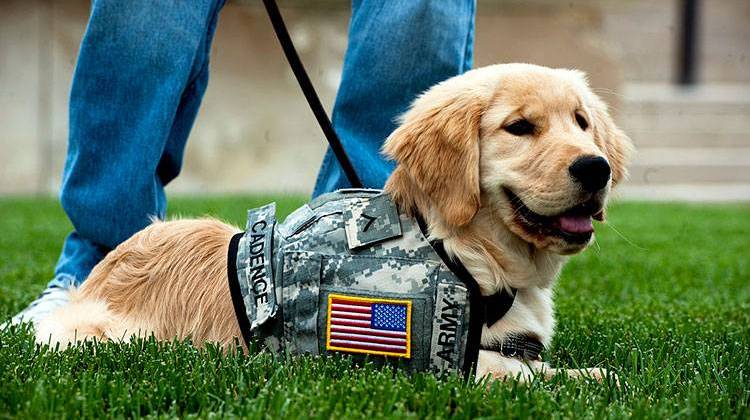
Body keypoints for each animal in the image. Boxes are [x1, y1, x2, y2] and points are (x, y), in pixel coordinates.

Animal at [38, 64, 632, 382]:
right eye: (520, 127)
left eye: (581, 122)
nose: (595, 167)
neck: (464, 251)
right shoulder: (435, 362)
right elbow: (523, 374)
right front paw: (590, 380)